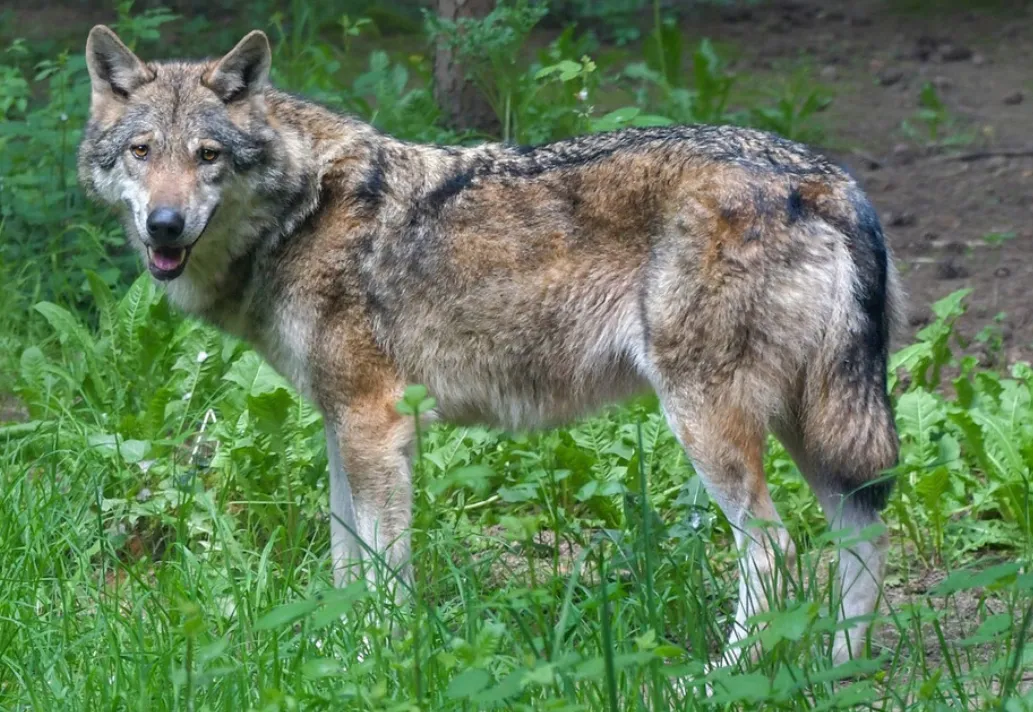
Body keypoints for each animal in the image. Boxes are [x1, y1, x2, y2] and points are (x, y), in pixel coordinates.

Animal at [79, 26, 902, 667]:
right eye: (142, 151)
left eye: (208, 155)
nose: (164, 224)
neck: (303, 210)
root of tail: (827, 179)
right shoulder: (341, 426)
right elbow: (346, 565)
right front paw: (334, 659)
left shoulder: (376, 424)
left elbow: (384, 573)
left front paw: (378, 662)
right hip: (812, 426)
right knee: (862, 534)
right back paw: (838, 672)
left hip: (711, 425)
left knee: (777, 551)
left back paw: (716, 680)